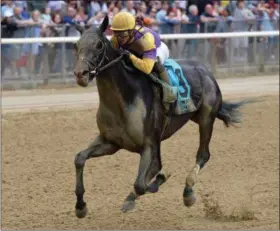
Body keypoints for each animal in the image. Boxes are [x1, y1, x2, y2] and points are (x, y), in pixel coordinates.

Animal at [72, 14, 249, 218]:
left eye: (99, 44)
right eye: (76, 44)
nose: (80, 74)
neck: (124, 100)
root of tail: (205, 71)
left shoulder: (150, 145)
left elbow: (142, 184)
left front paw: (160, 178)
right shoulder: (111, 142)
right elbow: (79, 158)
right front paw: (80, 206)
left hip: (206, 118)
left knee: (203, 155)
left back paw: (188, 192)